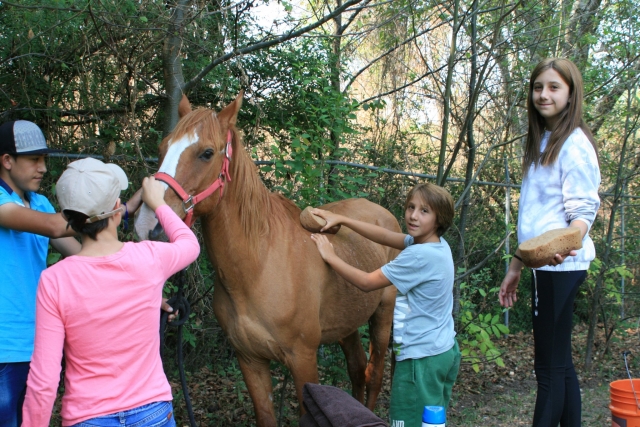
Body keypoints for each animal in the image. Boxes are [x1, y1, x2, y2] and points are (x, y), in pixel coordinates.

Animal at [135, 93, 400, 427]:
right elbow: (265, 415)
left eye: (206, 153)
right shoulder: (250, 361)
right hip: (348, 323)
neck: (259, 266)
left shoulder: (303, 360)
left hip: (383, 315)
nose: (149, 225)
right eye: (162, 148)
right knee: (357, 368)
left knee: (374, 374)